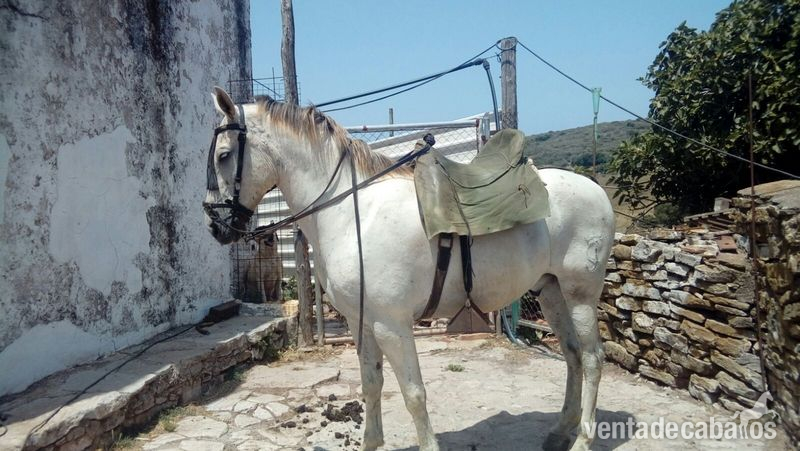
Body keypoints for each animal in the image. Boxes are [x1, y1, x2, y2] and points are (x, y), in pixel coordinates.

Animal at [203, 87, 615, 451]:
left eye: (223, 155)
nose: (214, 226)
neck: (353, 214)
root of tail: (597, 190)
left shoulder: (392, 324)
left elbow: (414, 393)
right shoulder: (361, 322)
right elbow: (371, 383)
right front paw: (371, 443)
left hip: (580, 295)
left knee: (593, 359)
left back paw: (582, 440)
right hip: (552, 293)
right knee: (573, 355)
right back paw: (560, 433)